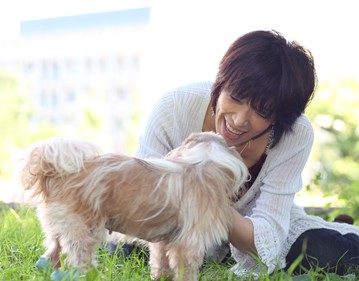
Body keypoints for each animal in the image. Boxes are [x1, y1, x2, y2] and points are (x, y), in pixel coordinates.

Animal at [19, 132, 249, 280]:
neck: (203, 159)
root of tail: (54, 172)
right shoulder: (188, 245)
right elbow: (186, 271)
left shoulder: (164, 241)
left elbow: (160, 264)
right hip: (83, 230)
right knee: (81, 261)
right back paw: (93, 275)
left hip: (60, 227)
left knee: (53, 253)